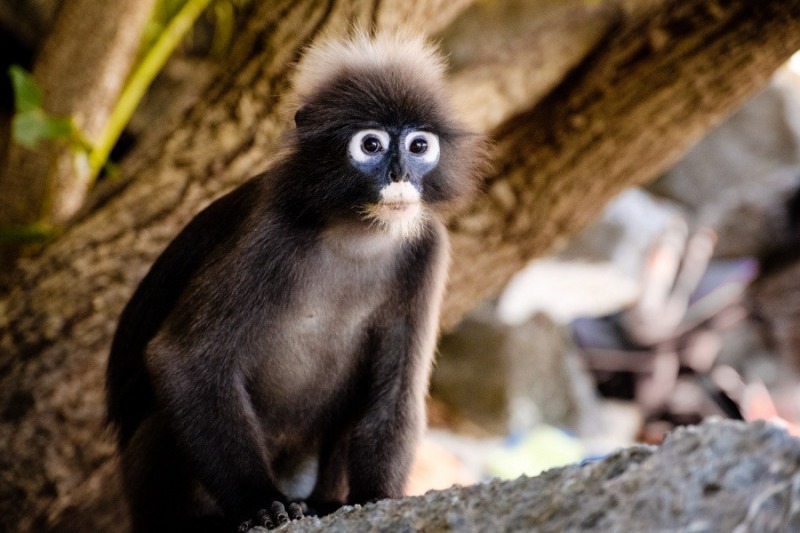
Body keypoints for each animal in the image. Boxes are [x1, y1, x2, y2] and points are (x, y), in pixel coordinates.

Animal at [106, 31, 487, 532]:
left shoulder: (429, 248)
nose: (400, 174)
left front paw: (375, 497)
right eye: (371, 144)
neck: (356, 234)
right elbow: (182, 361)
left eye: (419, 146)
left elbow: (395, 399)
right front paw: (260, 502)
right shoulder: (269, 231)